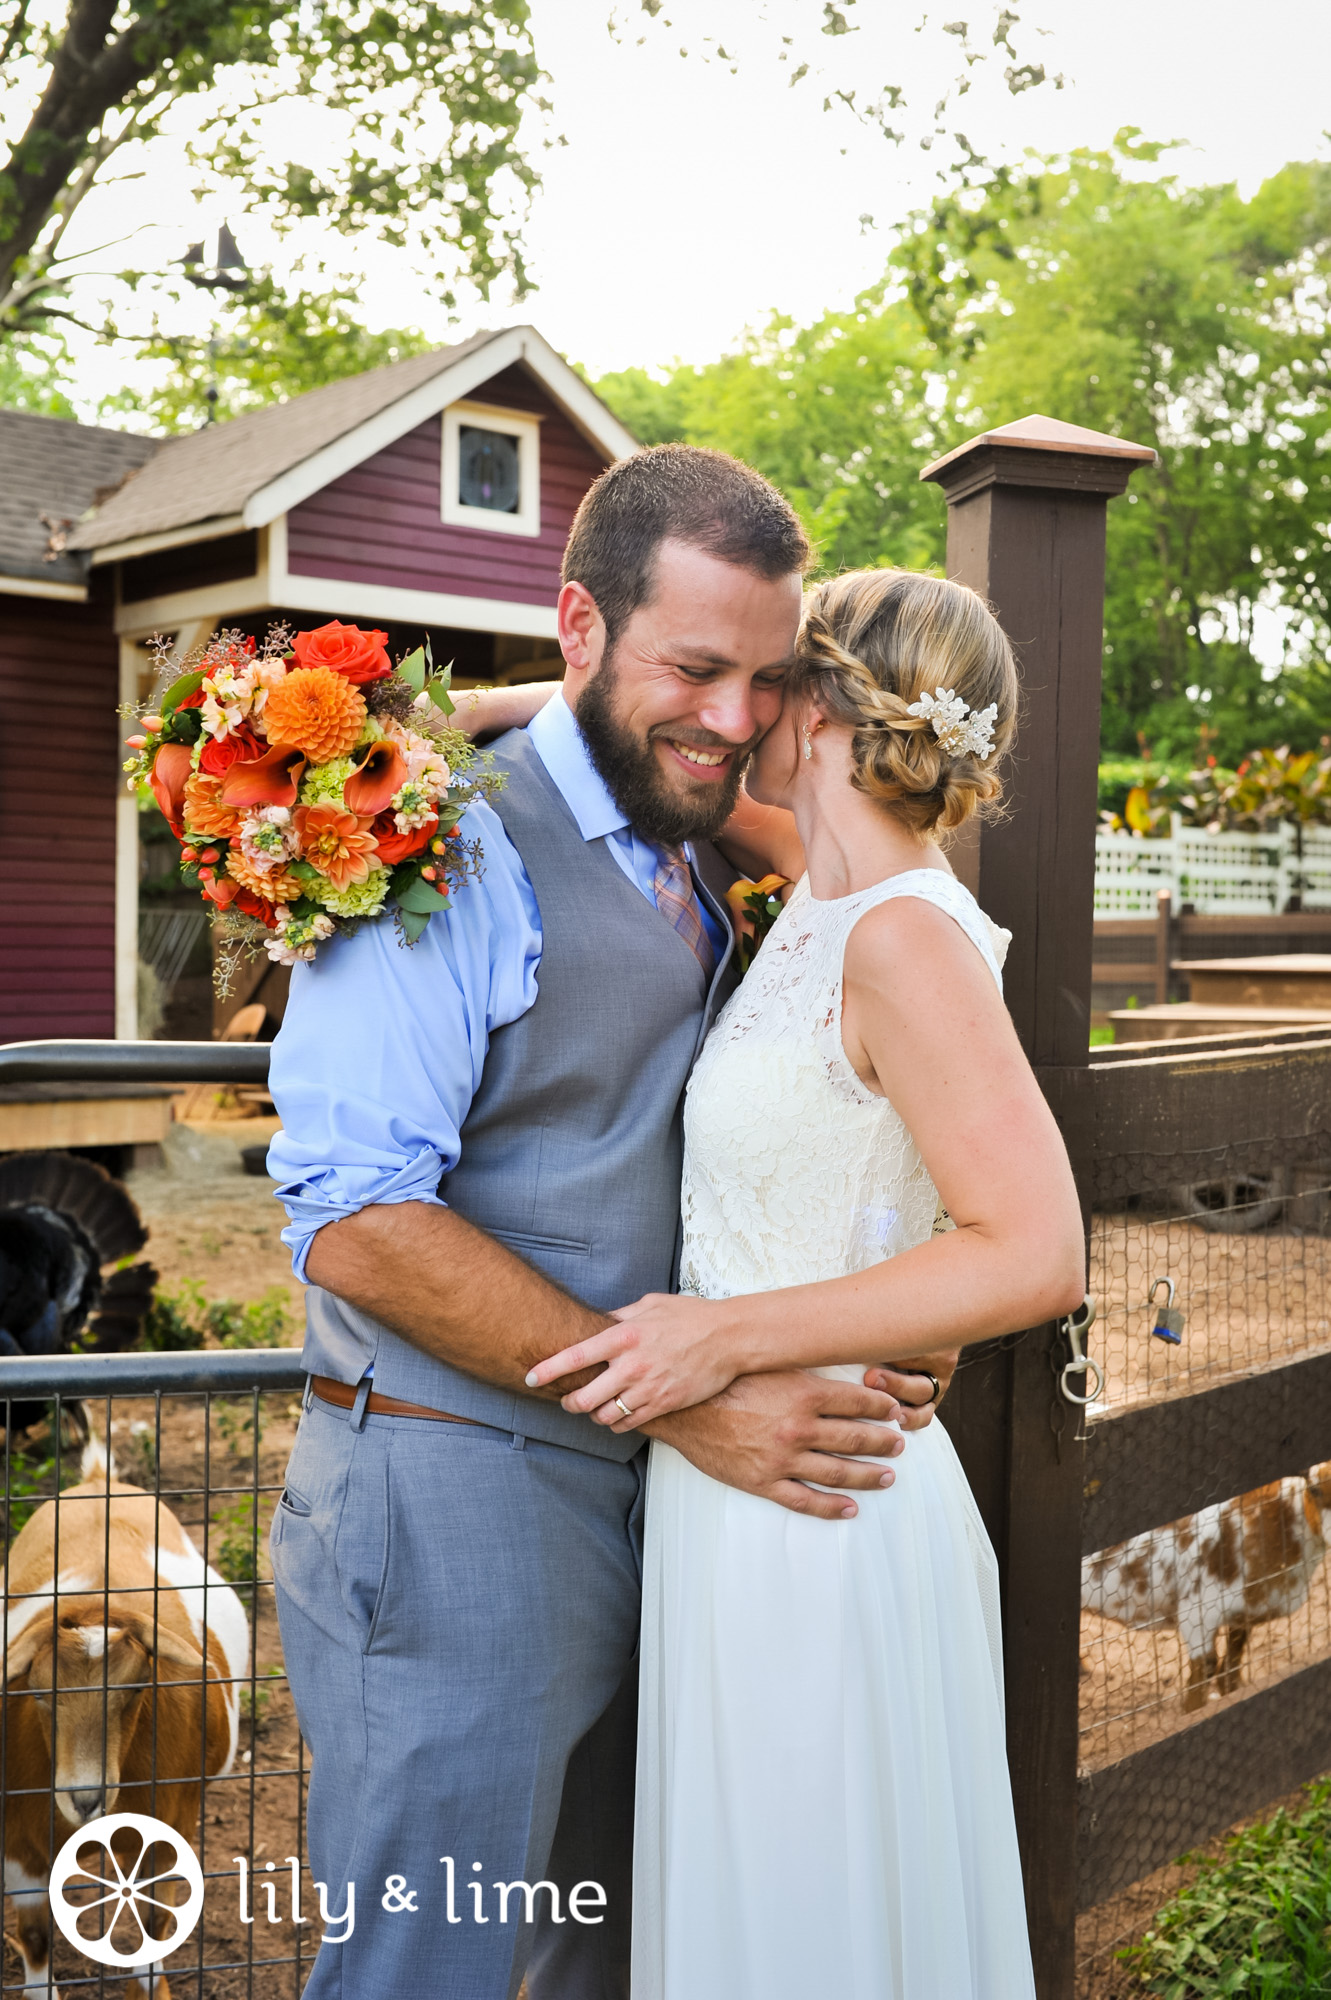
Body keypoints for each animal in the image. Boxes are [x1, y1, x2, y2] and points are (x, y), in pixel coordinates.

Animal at [3, 1456, 248, 2000]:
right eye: (38, 1692)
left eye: (136, 1688)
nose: (85, 1798)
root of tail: (99, 1479)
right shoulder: (18, 1844)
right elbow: (35, 1937)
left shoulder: (170, 1826)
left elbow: (155, 1924)